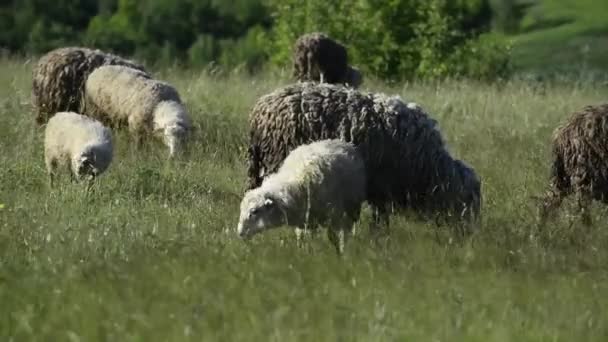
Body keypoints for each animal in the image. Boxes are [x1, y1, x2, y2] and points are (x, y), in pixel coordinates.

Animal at [236, 139, 366, 254]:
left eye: (254, 211)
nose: (240, 233)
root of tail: (340, 142)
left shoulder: (335, 215)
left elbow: (338, 236)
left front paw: (341, 253)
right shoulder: (305, 222)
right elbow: (303, 239)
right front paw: (304, 254)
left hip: (351, 207)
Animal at [246, 81, 480, 230]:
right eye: (467, 201)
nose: (470, 234)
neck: (426, 165)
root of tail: (259, 109)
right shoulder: (383, 187)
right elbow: (380, 220)